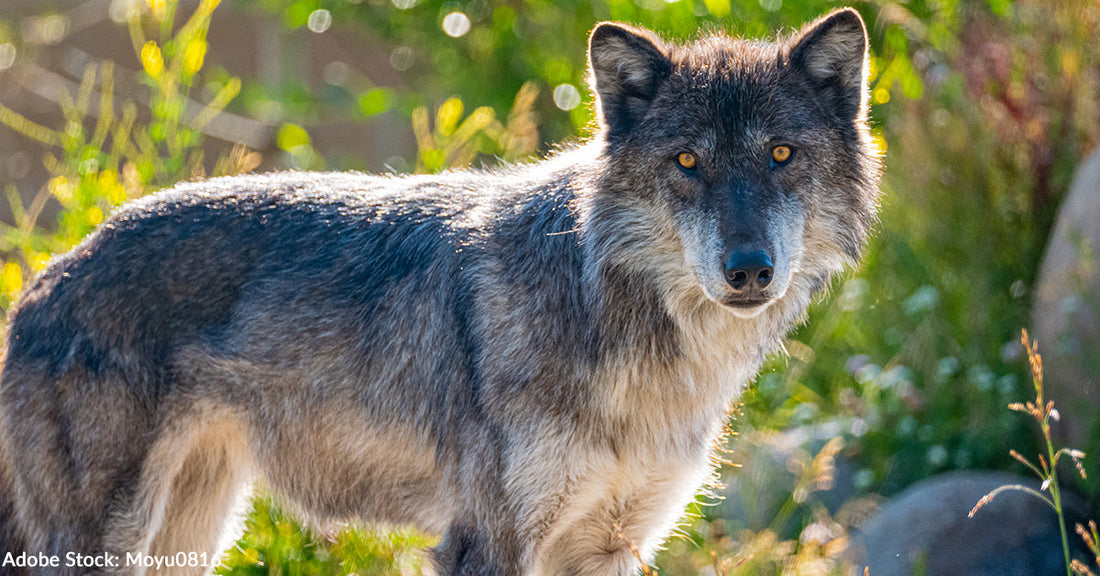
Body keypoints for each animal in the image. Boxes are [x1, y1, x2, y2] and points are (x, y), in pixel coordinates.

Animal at [0, 8, 879, 576]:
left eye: (781, 154)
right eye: (688, 163)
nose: (749, 268)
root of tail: (44, 279)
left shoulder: (609, 547)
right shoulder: (486, 542)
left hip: (189, 538)